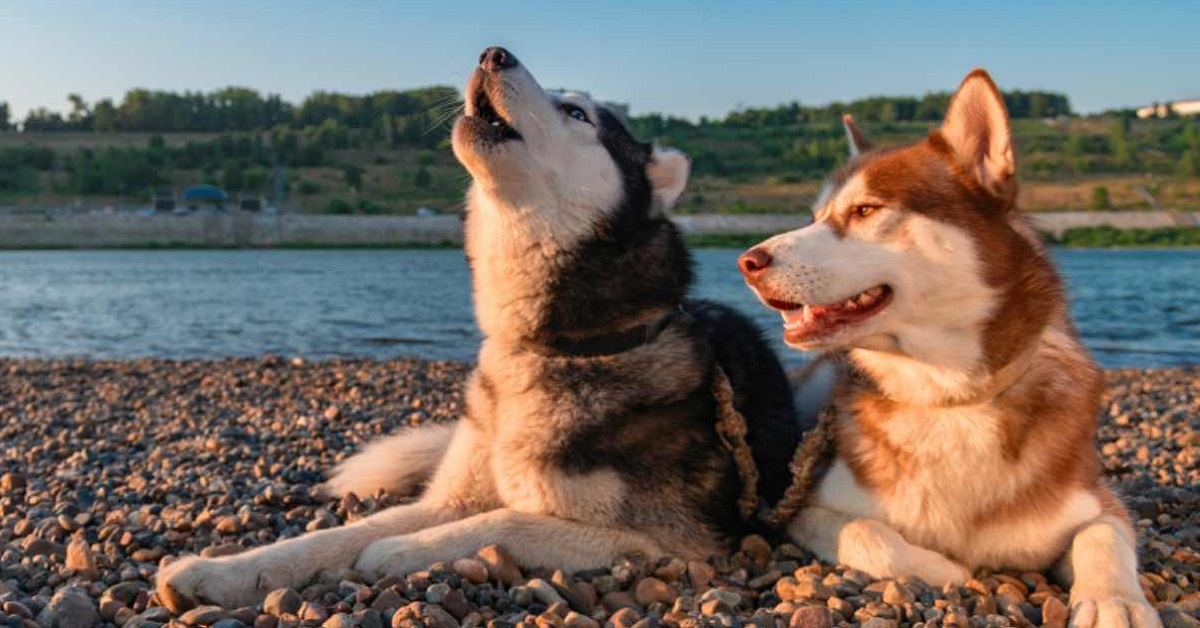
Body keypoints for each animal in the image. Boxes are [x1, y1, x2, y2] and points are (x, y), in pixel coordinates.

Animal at [154, 48, 801, 609]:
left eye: (578, 114)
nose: (494, 54)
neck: (558, 347)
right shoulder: (452, 495)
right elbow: (333, 536)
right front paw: (219, 570)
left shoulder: (668, 543)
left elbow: (501, 519)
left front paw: (400, 550)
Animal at [739, 69, 1161, 628]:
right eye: (815, 216)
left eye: (865, 210)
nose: (747, 261)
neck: (949, 396)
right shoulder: (803, 507)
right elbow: (868, 534)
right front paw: (944, 569)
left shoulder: (1096, 502)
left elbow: (1103, 536)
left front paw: (1117, 602)